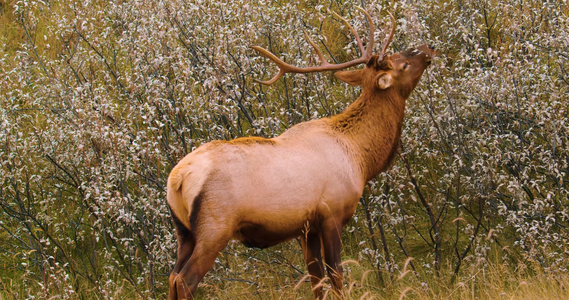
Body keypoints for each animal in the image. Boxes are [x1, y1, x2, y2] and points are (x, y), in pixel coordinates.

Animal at [166, 7, 432, 300]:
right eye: (402, 64)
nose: (426, 47)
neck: (360, 156)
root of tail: (177, 179)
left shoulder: (306, 228)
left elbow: (316, 280)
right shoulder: (331, 214)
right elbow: (336, 276)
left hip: (183, 232)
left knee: (172, 276)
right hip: (214, 228)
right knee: (185, 280)